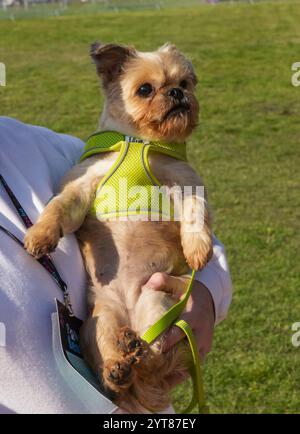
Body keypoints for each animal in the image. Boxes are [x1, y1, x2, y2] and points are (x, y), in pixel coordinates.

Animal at [24, 43, 213, 414]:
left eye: (185, 82)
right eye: (145, 89)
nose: (177, 93)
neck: (138, 142)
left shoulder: (185, 185)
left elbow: (196, 214)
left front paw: (198, 248)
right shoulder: (81, 188)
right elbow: (57, 209)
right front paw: (40, 236)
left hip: (156, 302)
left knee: (155, 359)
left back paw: (136, 354)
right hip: (98, 324)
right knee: (113, 366)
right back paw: (118, 367)